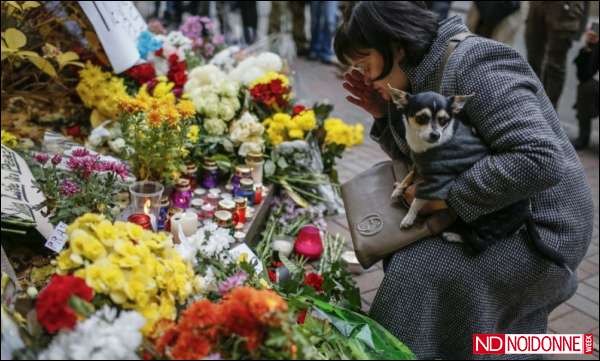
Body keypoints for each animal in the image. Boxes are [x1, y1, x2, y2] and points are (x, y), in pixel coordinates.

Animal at [386, 83, 564, 266]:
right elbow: (411, 174)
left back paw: (454, 236)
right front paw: (399, 189)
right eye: (421, 118)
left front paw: (409, 218)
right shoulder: (420, 165)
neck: (423, 147)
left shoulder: (438, 182)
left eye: (444, 120)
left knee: (480, 245)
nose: (436, 135)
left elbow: (417, 200)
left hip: (486, 223)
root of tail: (527, 212)